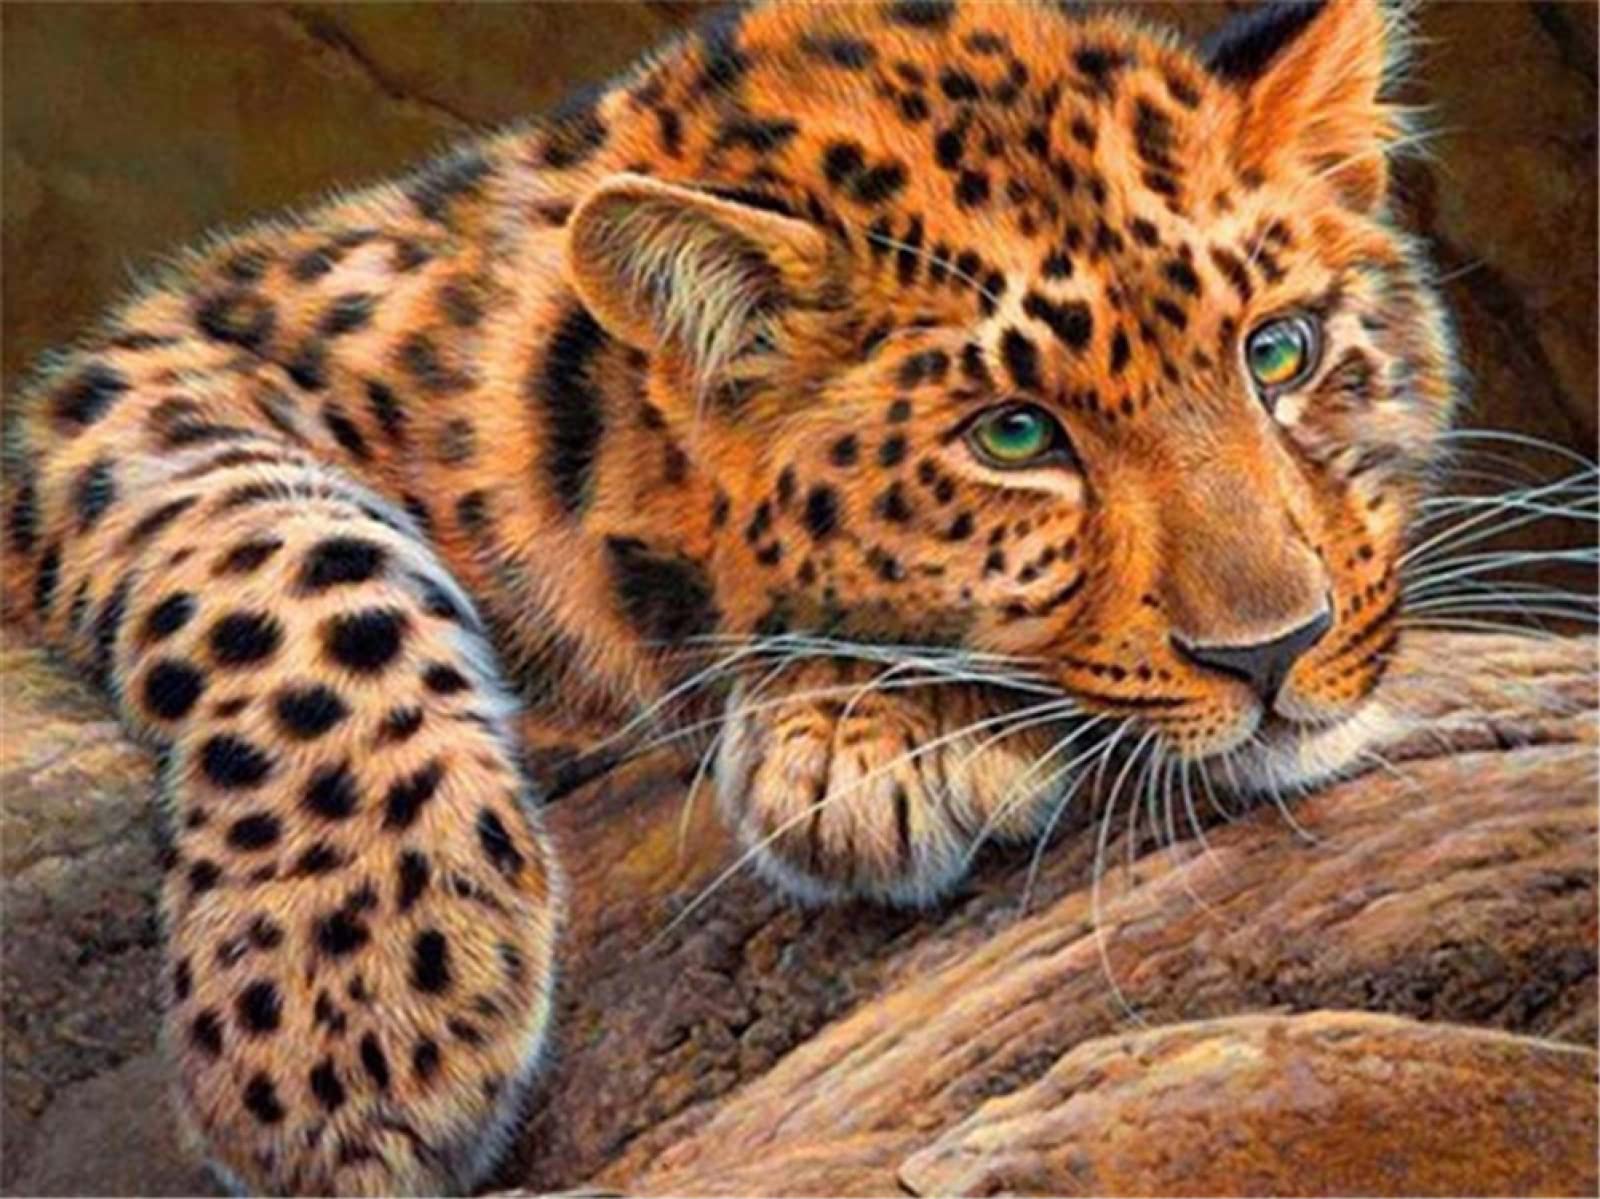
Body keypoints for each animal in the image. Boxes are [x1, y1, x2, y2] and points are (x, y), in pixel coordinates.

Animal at [1, 0, 1458, 1193]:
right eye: (1014, 436)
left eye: (1282, 352)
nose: (1278, 647)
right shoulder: (151, 370)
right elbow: (295, 556)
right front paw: (349, 1005)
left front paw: (870, 728)